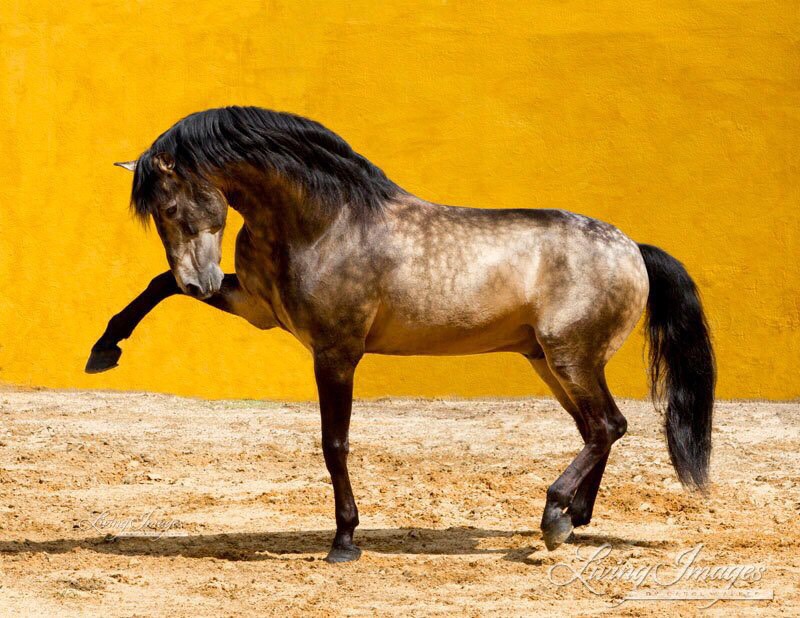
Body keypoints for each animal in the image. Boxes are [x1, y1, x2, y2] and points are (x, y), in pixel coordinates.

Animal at [86, 106, 715, 563]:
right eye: (157, 213)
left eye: (171, 206)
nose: (202, 280)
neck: (325, 222)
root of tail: (633, 248)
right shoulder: (256, 306)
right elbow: (156, 284)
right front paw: (104, 349)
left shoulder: (336, 352)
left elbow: (334, 443)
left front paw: (344, 542)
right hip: (547, 361)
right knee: (597, 430)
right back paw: (572, 520)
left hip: (571, 358)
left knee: (607, 425)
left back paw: (555, 517)